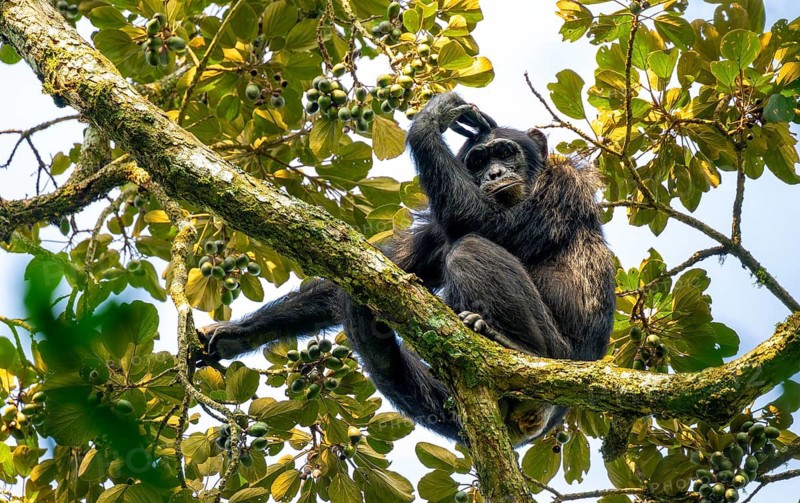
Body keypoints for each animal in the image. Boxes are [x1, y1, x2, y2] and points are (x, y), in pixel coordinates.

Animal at [198, 92, 616, 445]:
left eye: (505, 152)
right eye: (477, 162)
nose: (494, 174)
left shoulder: (561, 187)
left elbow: (483, 223)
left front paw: (431, 118)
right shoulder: (433, 225)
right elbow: (371, 272)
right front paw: (239, 333)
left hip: (558, 360)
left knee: (470, 248)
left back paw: (513, 345)